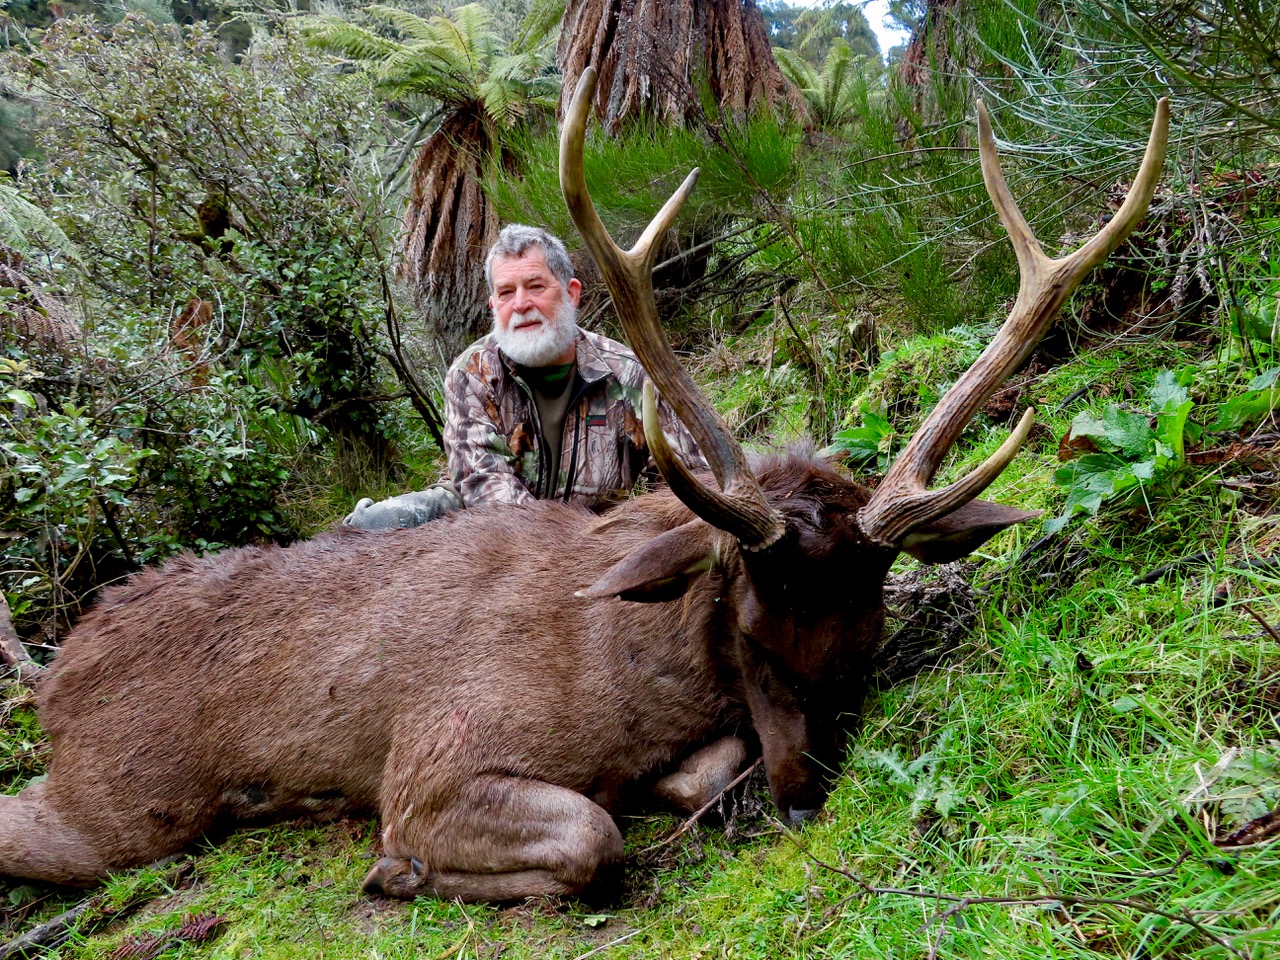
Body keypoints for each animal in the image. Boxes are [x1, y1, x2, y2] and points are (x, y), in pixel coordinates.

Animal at [0, 71, 1172, 906]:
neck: (635, 668)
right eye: (747, 620)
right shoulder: (433, 759)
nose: (804, 792)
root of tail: (62, 665)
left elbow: (690, 780)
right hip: (124, 794)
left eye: (867, 635)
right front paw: (398, 870)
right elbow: (589, 836)